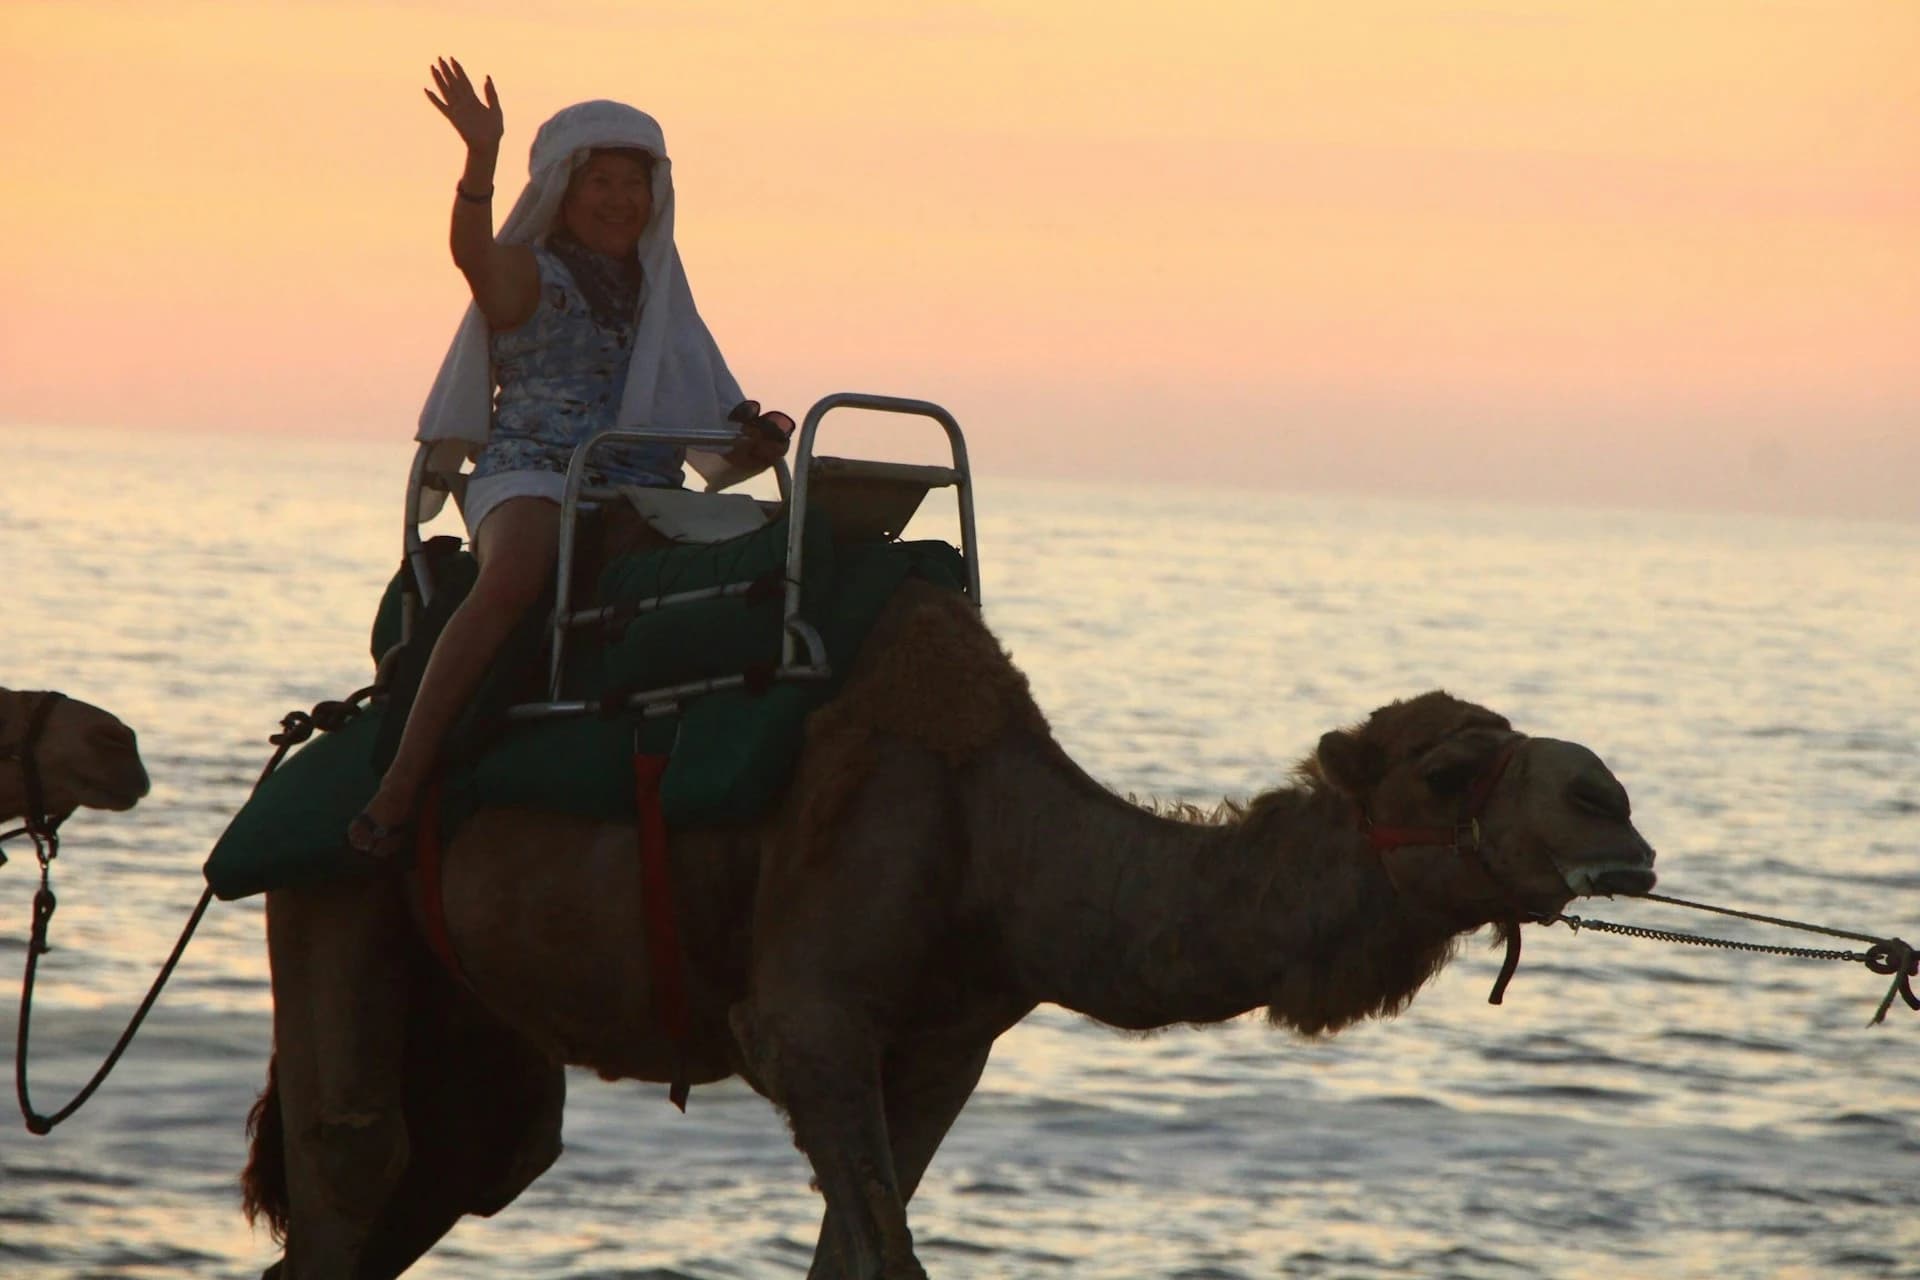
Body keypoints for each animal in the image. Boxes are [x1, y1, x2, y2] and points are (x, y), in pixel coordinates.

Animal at [244, 581, 1657, 1278]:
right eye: (1449, 771)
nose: (1617, 809)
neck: (998, 842)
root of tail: (334, 728)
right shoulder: (806, 1019)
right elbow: (885, 1250)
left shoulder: (943, 1047)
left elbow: (855, 1248)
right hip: (333, 884)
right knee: (354, 1156)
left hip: (472, 995)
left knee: (471, 1158)